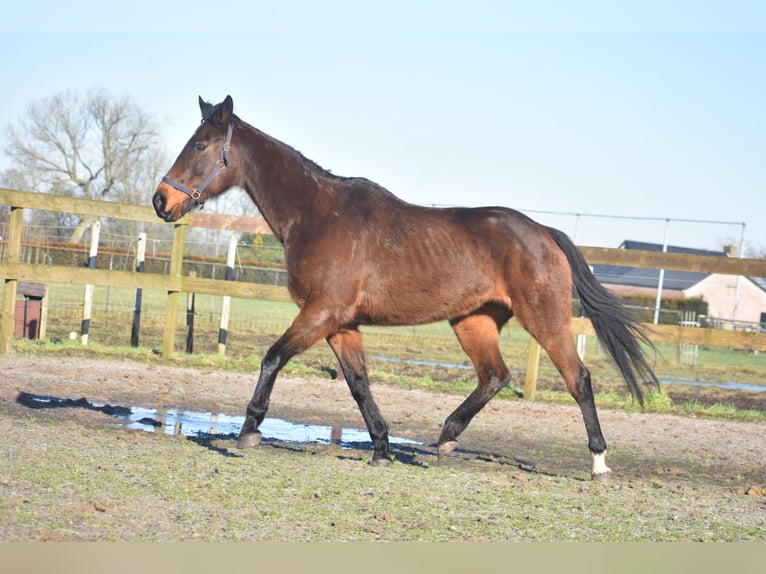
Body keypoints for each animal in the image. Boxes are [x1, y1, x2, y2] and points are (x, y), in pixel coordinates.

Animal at [154, 95, 660, 482]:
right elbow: (359, 384)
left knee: (578, 378)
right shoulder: (340, 324)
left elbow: (273, 357)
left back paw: (598, 463)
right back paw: (446, 439)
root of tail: (544, 232)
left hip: (544, 317)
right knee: (495, 376)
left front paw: (250, 430)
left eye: (200, 144)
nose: (162, 200)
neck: (317, 215)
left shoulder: (320, 313)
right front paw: (381, 448)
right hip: (473, 321)